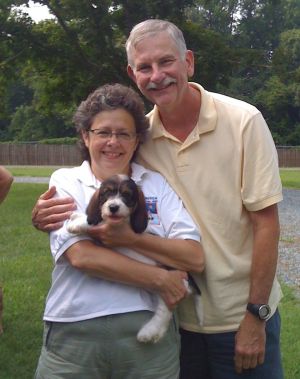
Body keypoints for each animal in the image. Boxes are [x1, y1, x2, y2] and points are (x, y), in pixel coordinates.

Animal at [67, 175, 204, 344]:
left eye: (127, 195)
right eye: (107, 193)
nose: (113, 207)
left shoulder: (110, 227)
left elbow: (99, 222)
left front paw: (77, 223)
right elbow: (98, 217)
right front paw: (79, 216)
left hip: (171, 284)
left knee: (164, 311)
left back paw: (148, 332)